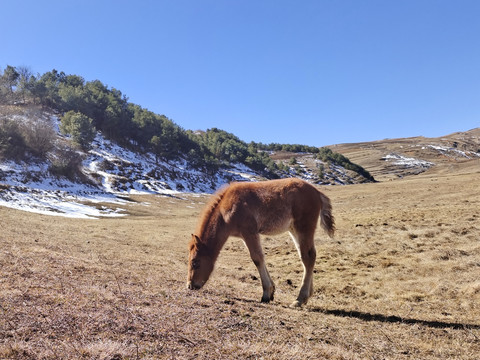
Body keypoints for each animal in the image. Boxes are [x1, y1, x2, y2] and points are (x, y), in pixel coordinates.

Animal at [186, 177, 336, 306]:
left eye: (195, 262)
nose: (190, 285)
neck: (226, 210)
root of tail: (317, 192)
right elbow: (260, 258)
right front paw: (272, 291)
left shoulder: (249, 232)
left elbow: (257, 258)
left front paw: (266, 294)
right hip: (294, 229)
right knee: (307, 256)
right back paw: (307, 296)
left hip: (303, 228)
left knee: (308, 257)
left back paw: (300, 299)